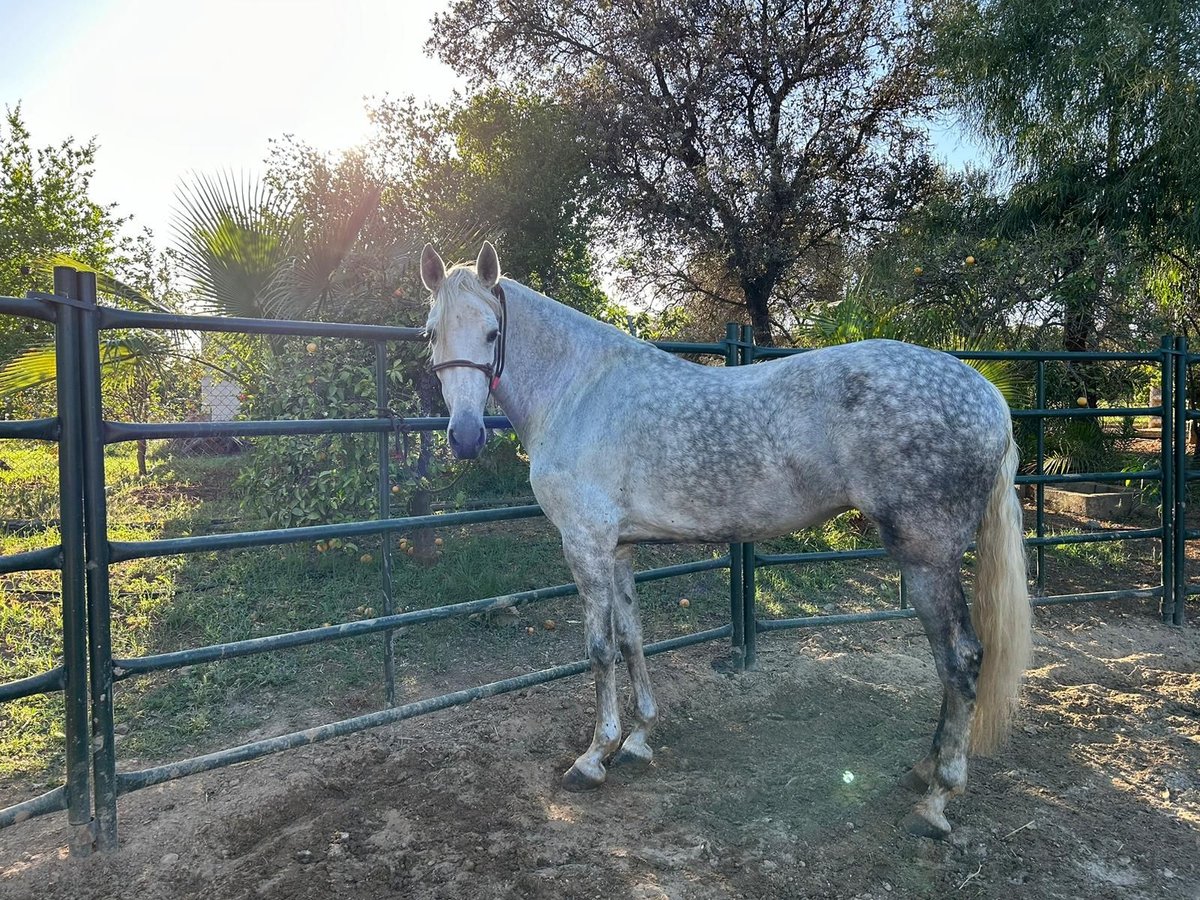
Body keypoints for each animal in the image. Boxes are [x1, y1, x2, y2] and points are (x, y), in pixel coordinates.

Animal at [422, 241, 1032, 840]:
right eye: (431, 333)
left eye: (492, 333)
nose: (465, 437)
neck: (580, 392)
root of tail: (988, 396)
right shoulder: (618, 548)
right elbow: (633, 638)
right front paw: (639, 738)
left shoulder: (585, 544)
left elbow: (599, 650)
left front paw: (594, 757)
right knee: (950, 661)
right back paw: (924, 769)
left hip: (929, 559)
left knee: (959, 659)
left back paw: (937, 799)